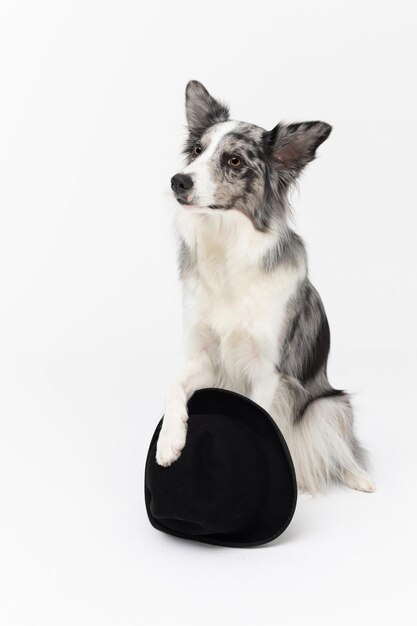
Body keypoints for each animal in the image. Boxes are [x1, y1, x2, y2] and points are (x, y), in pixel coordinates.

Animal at [155, 81, 374, 492]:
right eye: (197, 151)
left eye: (234, 161)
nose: (178, 180)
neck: (227, 248)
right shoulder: (205, 357)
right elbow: (173, 386)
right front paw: (169, 442)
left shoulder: (268, 370)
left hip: (331, 403)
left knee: (337, 448)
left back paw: (357, 476)